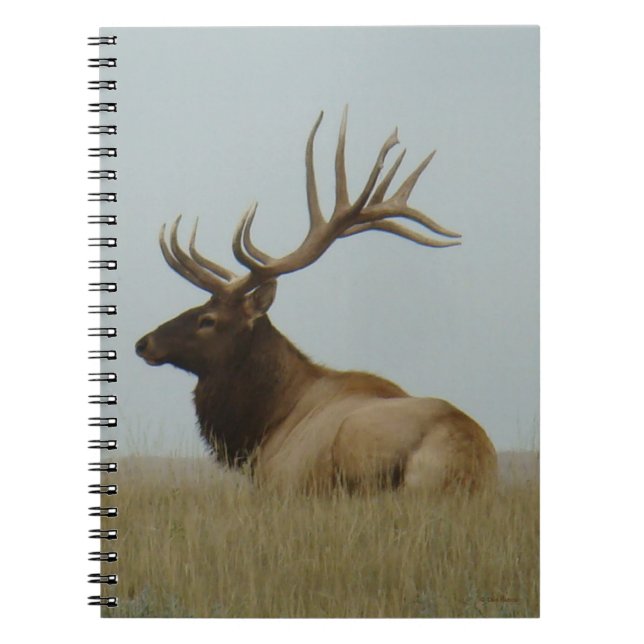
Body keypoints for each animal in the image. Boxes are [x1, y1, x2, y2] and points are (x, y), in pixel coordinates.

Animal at [135, 108, 497, 493]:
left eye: (208, 319)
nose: (144, 343)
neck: (264, 426)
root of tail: (465, 457)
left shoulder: (280, 482)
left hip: (356, 442)